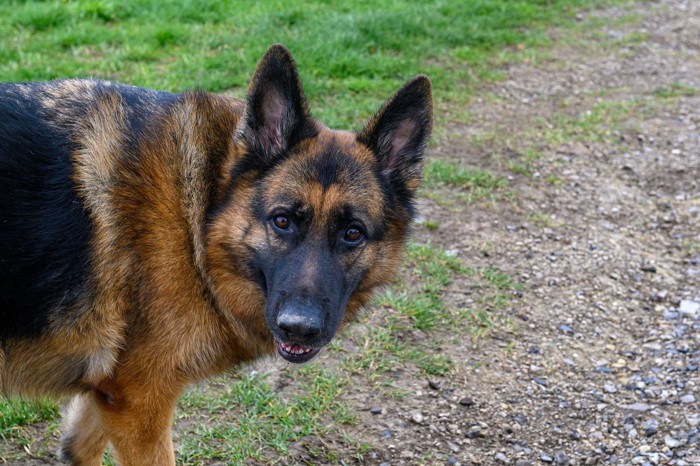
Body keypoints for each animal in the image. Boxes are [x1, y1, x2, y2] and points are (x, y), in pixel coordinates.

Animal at [0, 44, 432, 466]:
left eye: (353, 233)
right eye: (282, 221)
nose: (299, 327)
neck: (198, 219)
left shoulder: (110, 396)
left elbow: (81, 447)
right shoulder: (139, 407)